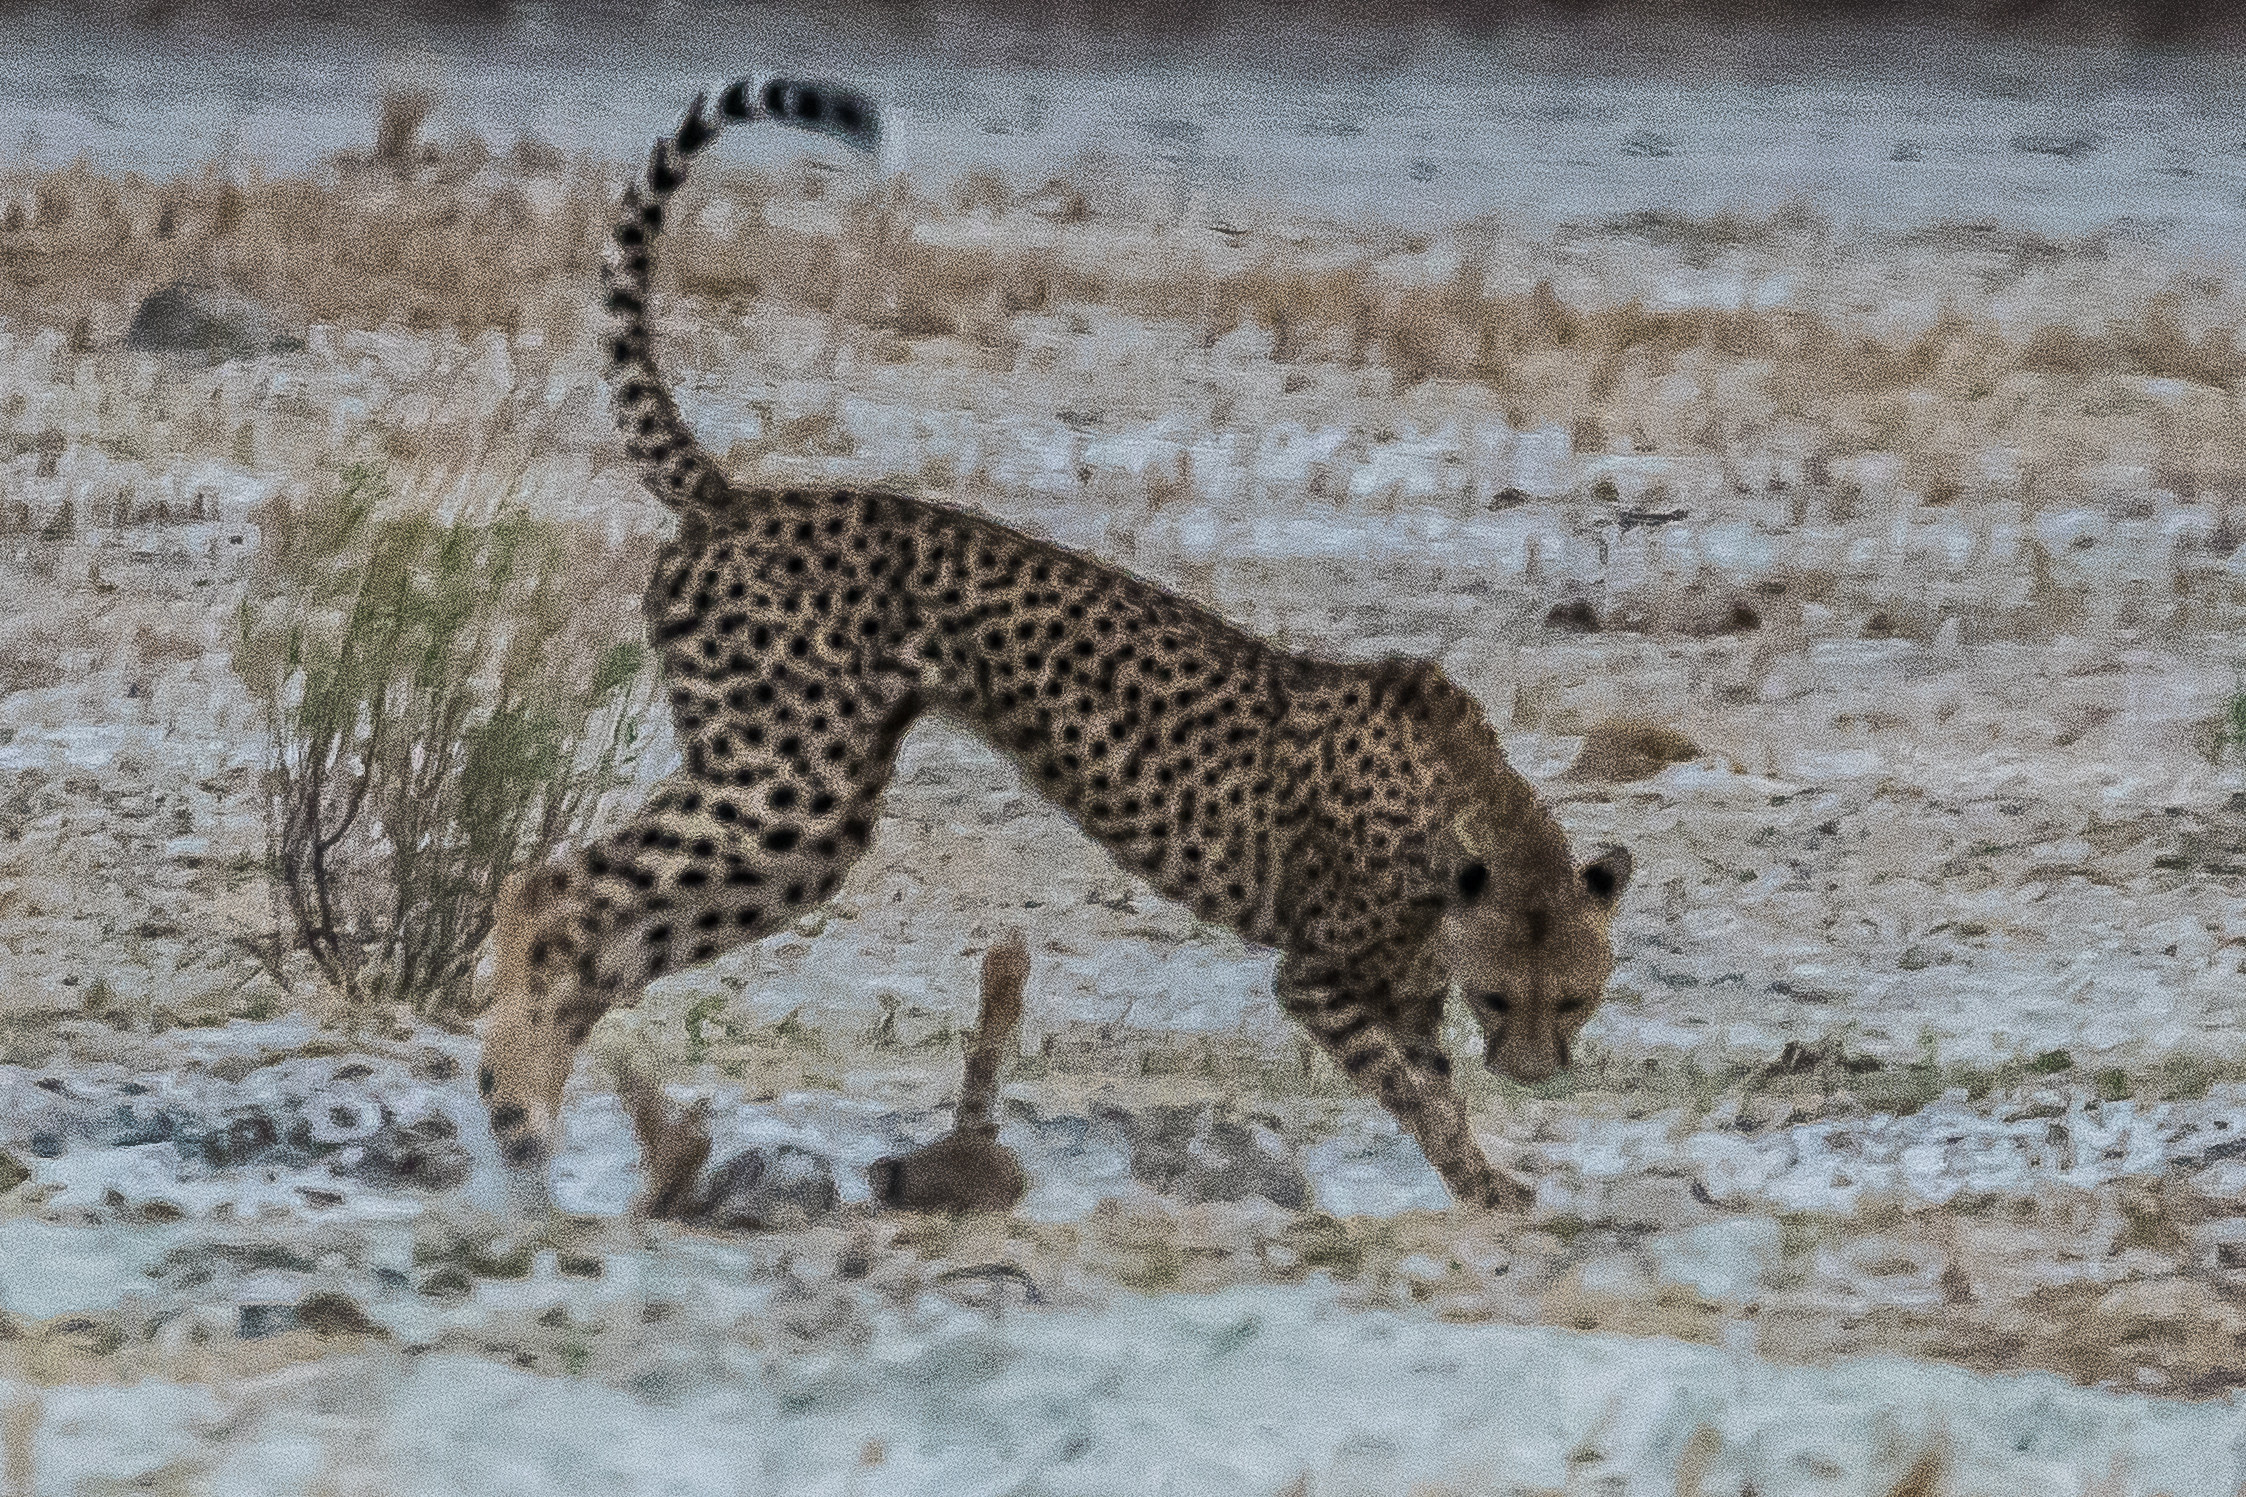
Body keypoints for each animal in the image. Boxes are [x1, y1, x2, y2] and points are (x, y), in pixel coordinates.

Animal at [478, 76, 1635, 1211]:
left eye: (1575, 998)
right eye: (1503, 994)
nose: (1535, 1074)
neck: (1466, 810)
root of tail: (737, 498)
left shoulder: (1405, 987)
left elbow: (1434, 1081)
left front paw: (1489, 1173)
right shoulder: (1320, 978)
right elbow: (1413, 1089)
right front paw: (1480, 1180)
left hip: (798, 813)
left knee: (607, 935)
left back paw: (540, 1125)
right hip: (787, 786)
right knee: (549, 890)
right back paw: (523, 1109)